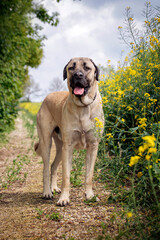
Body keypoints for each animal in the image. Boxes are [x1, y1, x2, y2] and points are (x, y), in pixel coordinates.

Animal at [34, 57, 104, 205]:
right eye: (71, 67)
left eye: (87, 68)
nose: (78, 75)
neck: (83, 107)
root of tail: (46, 98)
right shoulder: (69, 147)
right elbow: (66, 177)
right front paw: (64, 199)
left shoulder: (93, 146)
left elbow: (89, 175)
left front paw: (90, 195)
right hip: (46, 142)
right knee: (46, 168)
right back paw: (47, 192)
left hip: (60, 147)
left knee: (53, 166)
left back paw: (54, 188)